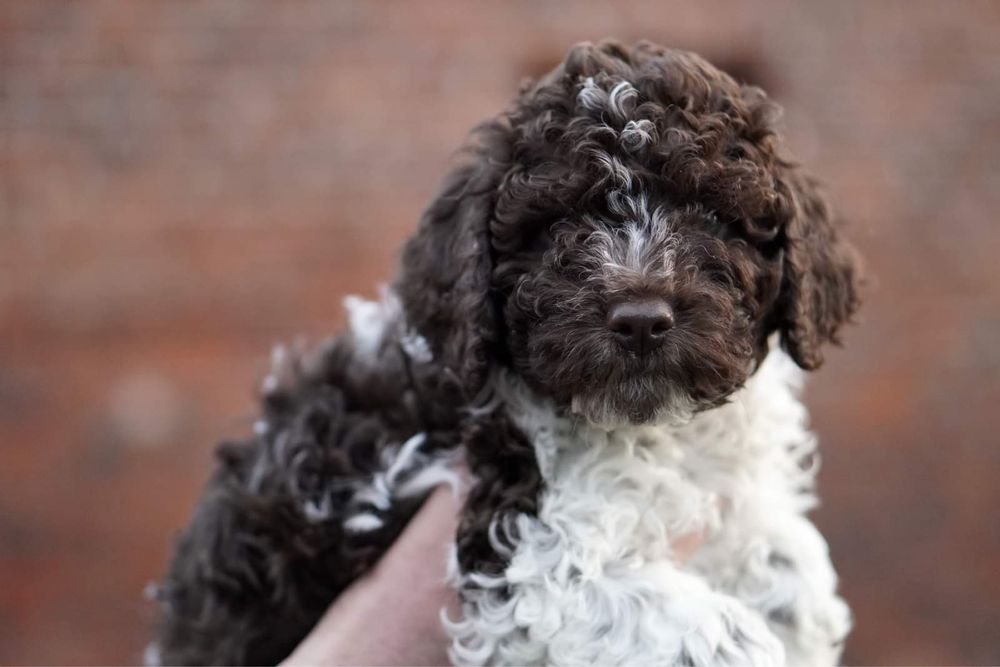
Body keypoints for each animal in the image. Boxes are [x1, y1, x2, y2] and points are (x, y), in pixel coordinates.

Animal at [148, 41, 860, 667]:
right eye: (558, 226)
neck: (652, 430)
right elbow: (663, 616)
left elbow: (790, 555)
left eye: (712, 216)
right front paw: (748, 640)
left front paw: (800, 609)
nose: (640, 321)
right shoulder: (518, 537)